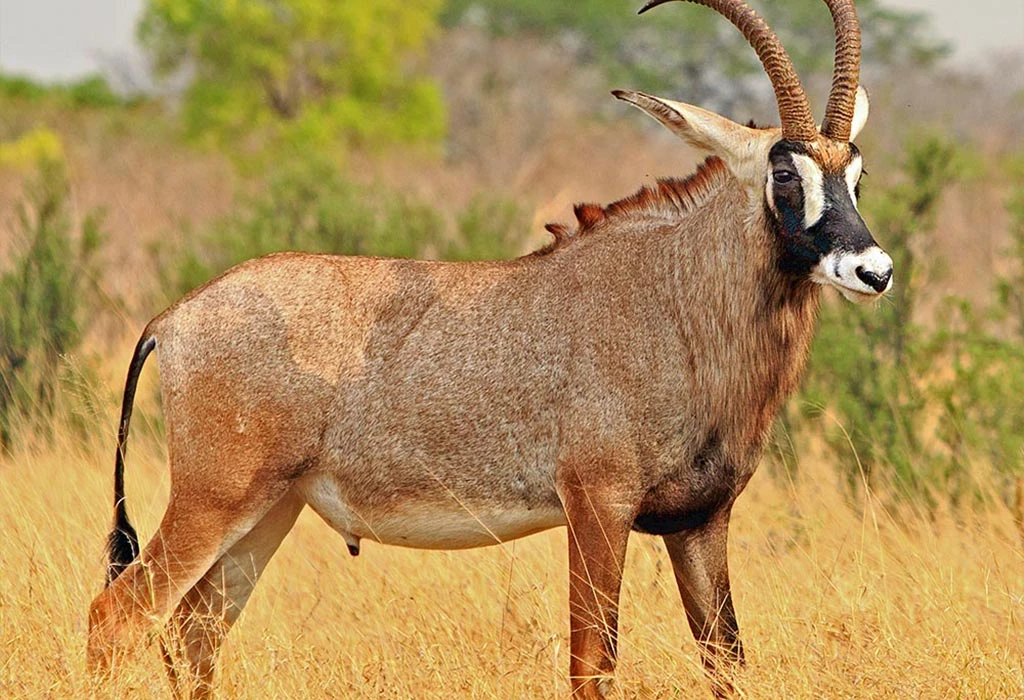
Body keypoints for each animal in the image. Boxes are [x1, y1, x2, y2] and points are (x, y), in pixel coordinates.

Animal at [87, 0, 891, 697]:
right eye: (785, 173)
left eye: (856, 172)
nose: (874, 271)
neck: (672, 298)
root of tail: (176, 316)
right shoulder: (598, 506)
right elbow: (593, 666)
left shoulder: (700, 521)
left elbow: (726, 661)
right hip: (215, 499)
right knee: (118, 616)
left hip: (269, 510)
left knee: (193, 632)